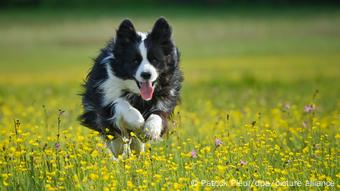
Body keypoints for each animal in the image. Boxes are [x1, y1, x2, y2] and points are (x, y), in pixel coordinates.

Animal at [79, 17, 183, 158]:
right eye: (135, 61)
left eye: (155, 60)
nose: (146, 75)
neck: (137, 94)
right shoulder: (106, 93)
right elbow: (120, 104)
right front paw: (139, 123)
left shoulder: (165, 96)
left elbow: (159, 114)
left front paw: (150, 130)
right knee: (113, 135)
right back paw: (119, 147)